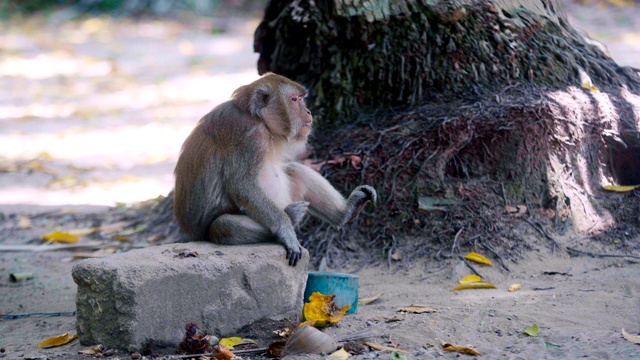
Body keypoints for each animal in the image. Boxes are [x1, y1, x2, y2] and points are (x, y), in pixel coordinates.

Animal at [172, 71, 378, 266]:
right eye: (294, 100)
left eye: (301, 99)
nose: (309, 112)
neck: (257, 118)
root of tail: (192, 235)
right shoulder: (248, 135)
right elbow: (243, 186)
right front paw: (285, 229)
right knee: (224, 226)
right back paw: (290, 217)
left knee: (295, 171)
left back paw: (346, 212)